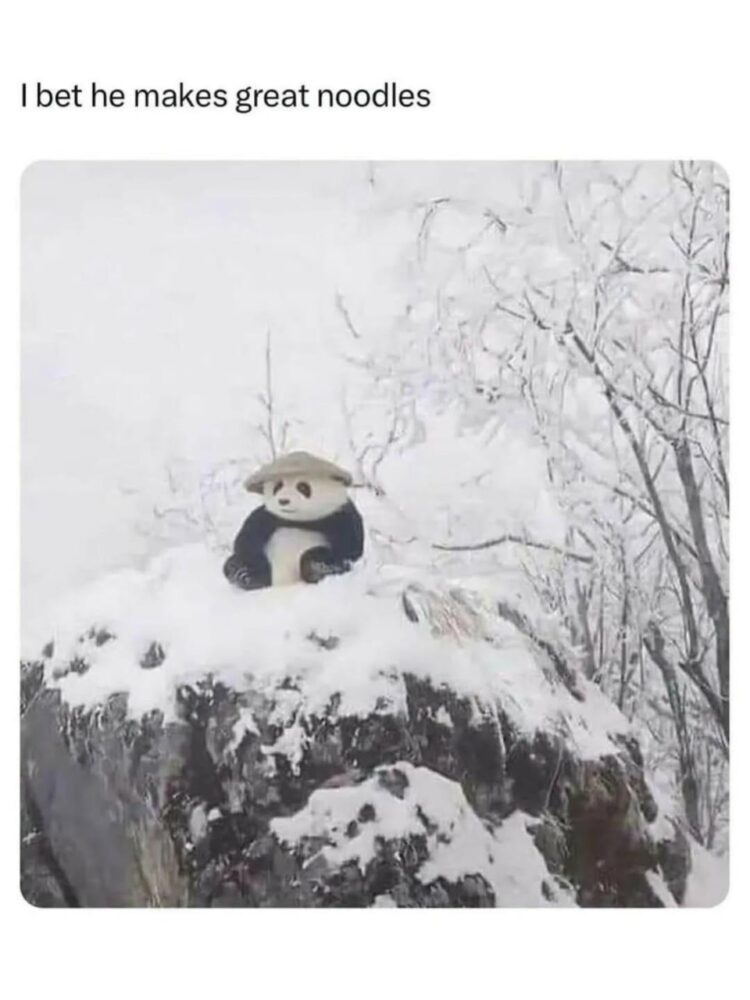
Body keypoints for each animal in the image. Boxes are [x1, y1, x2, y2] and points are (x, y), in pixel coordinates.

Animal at [223, 451, 364, 590]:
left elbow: (349, 549)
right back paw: (244, 574)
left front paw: (318, 567)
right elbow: (246, 541)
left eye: (302, 487)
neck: (300, 520)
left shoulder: (339, 517)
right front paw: (244, 573)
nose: (283, 501)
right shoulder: (268, 517)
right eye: (278, 486)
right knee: (232, 563)